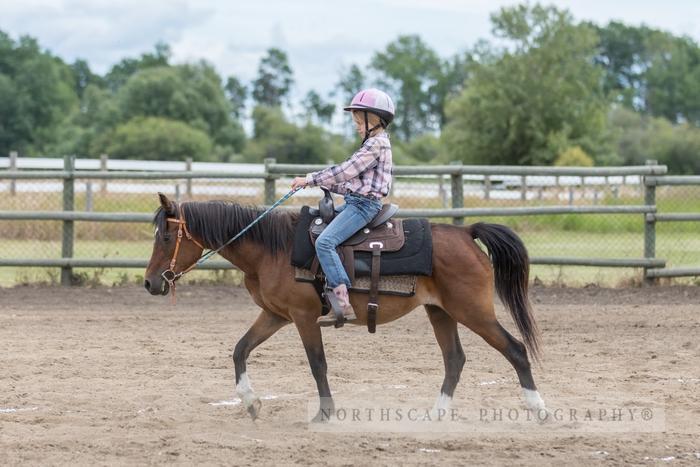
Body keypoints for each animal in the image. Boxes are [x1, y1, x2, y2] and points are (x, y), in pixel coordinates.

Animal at [144, 195, 548, 424]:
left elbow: (317, 364)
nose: (150, 283)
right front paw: (251, 403)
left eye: (166, 236)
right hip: (441, 312)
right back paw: (436, 414)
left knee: (515, 350)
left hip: (474, 312)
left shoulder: (304, 317)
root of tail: (466, 233)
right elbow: (240, 349)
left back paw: (539, 410)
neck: (273, 248)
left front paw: (325, 413)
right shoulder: (276, 315)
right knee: (455, 360)